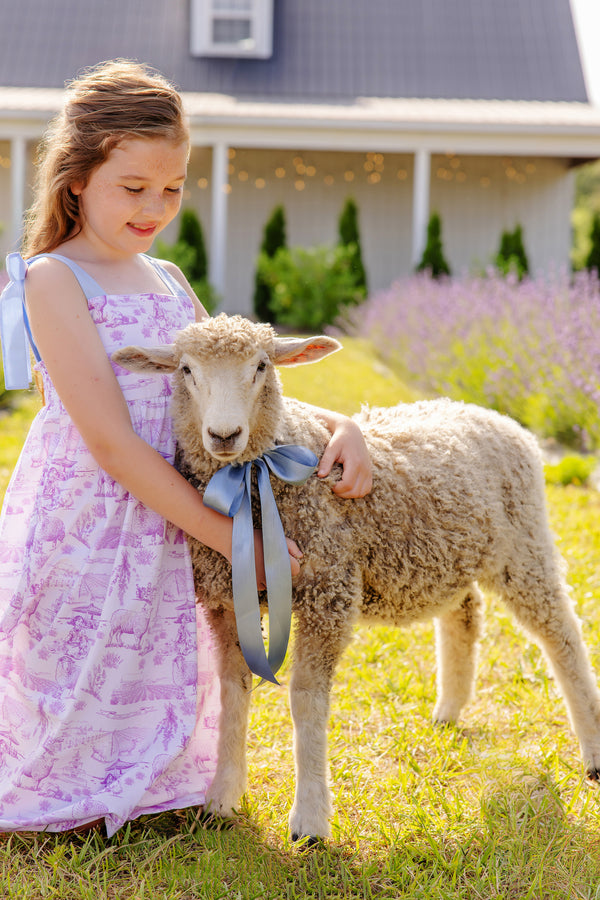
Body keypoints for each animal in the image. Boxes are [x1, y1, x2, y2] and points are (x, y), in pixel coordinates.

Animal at [113, 313, 600, 843]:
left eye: (261, 366)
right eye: (185, 369)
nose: (224, 434)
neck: (254, 481)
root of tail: (498, 417)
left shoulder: (327, 589)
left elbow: (305, 698)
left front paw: (309, 819)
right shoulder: (225, 600)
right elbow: (233, 690)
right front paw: (223, 796)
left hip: (523, 547)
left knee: (563, 637)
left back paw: (592, 750)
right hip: (450, 553)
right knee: (465, 613)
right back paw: (449, 710)